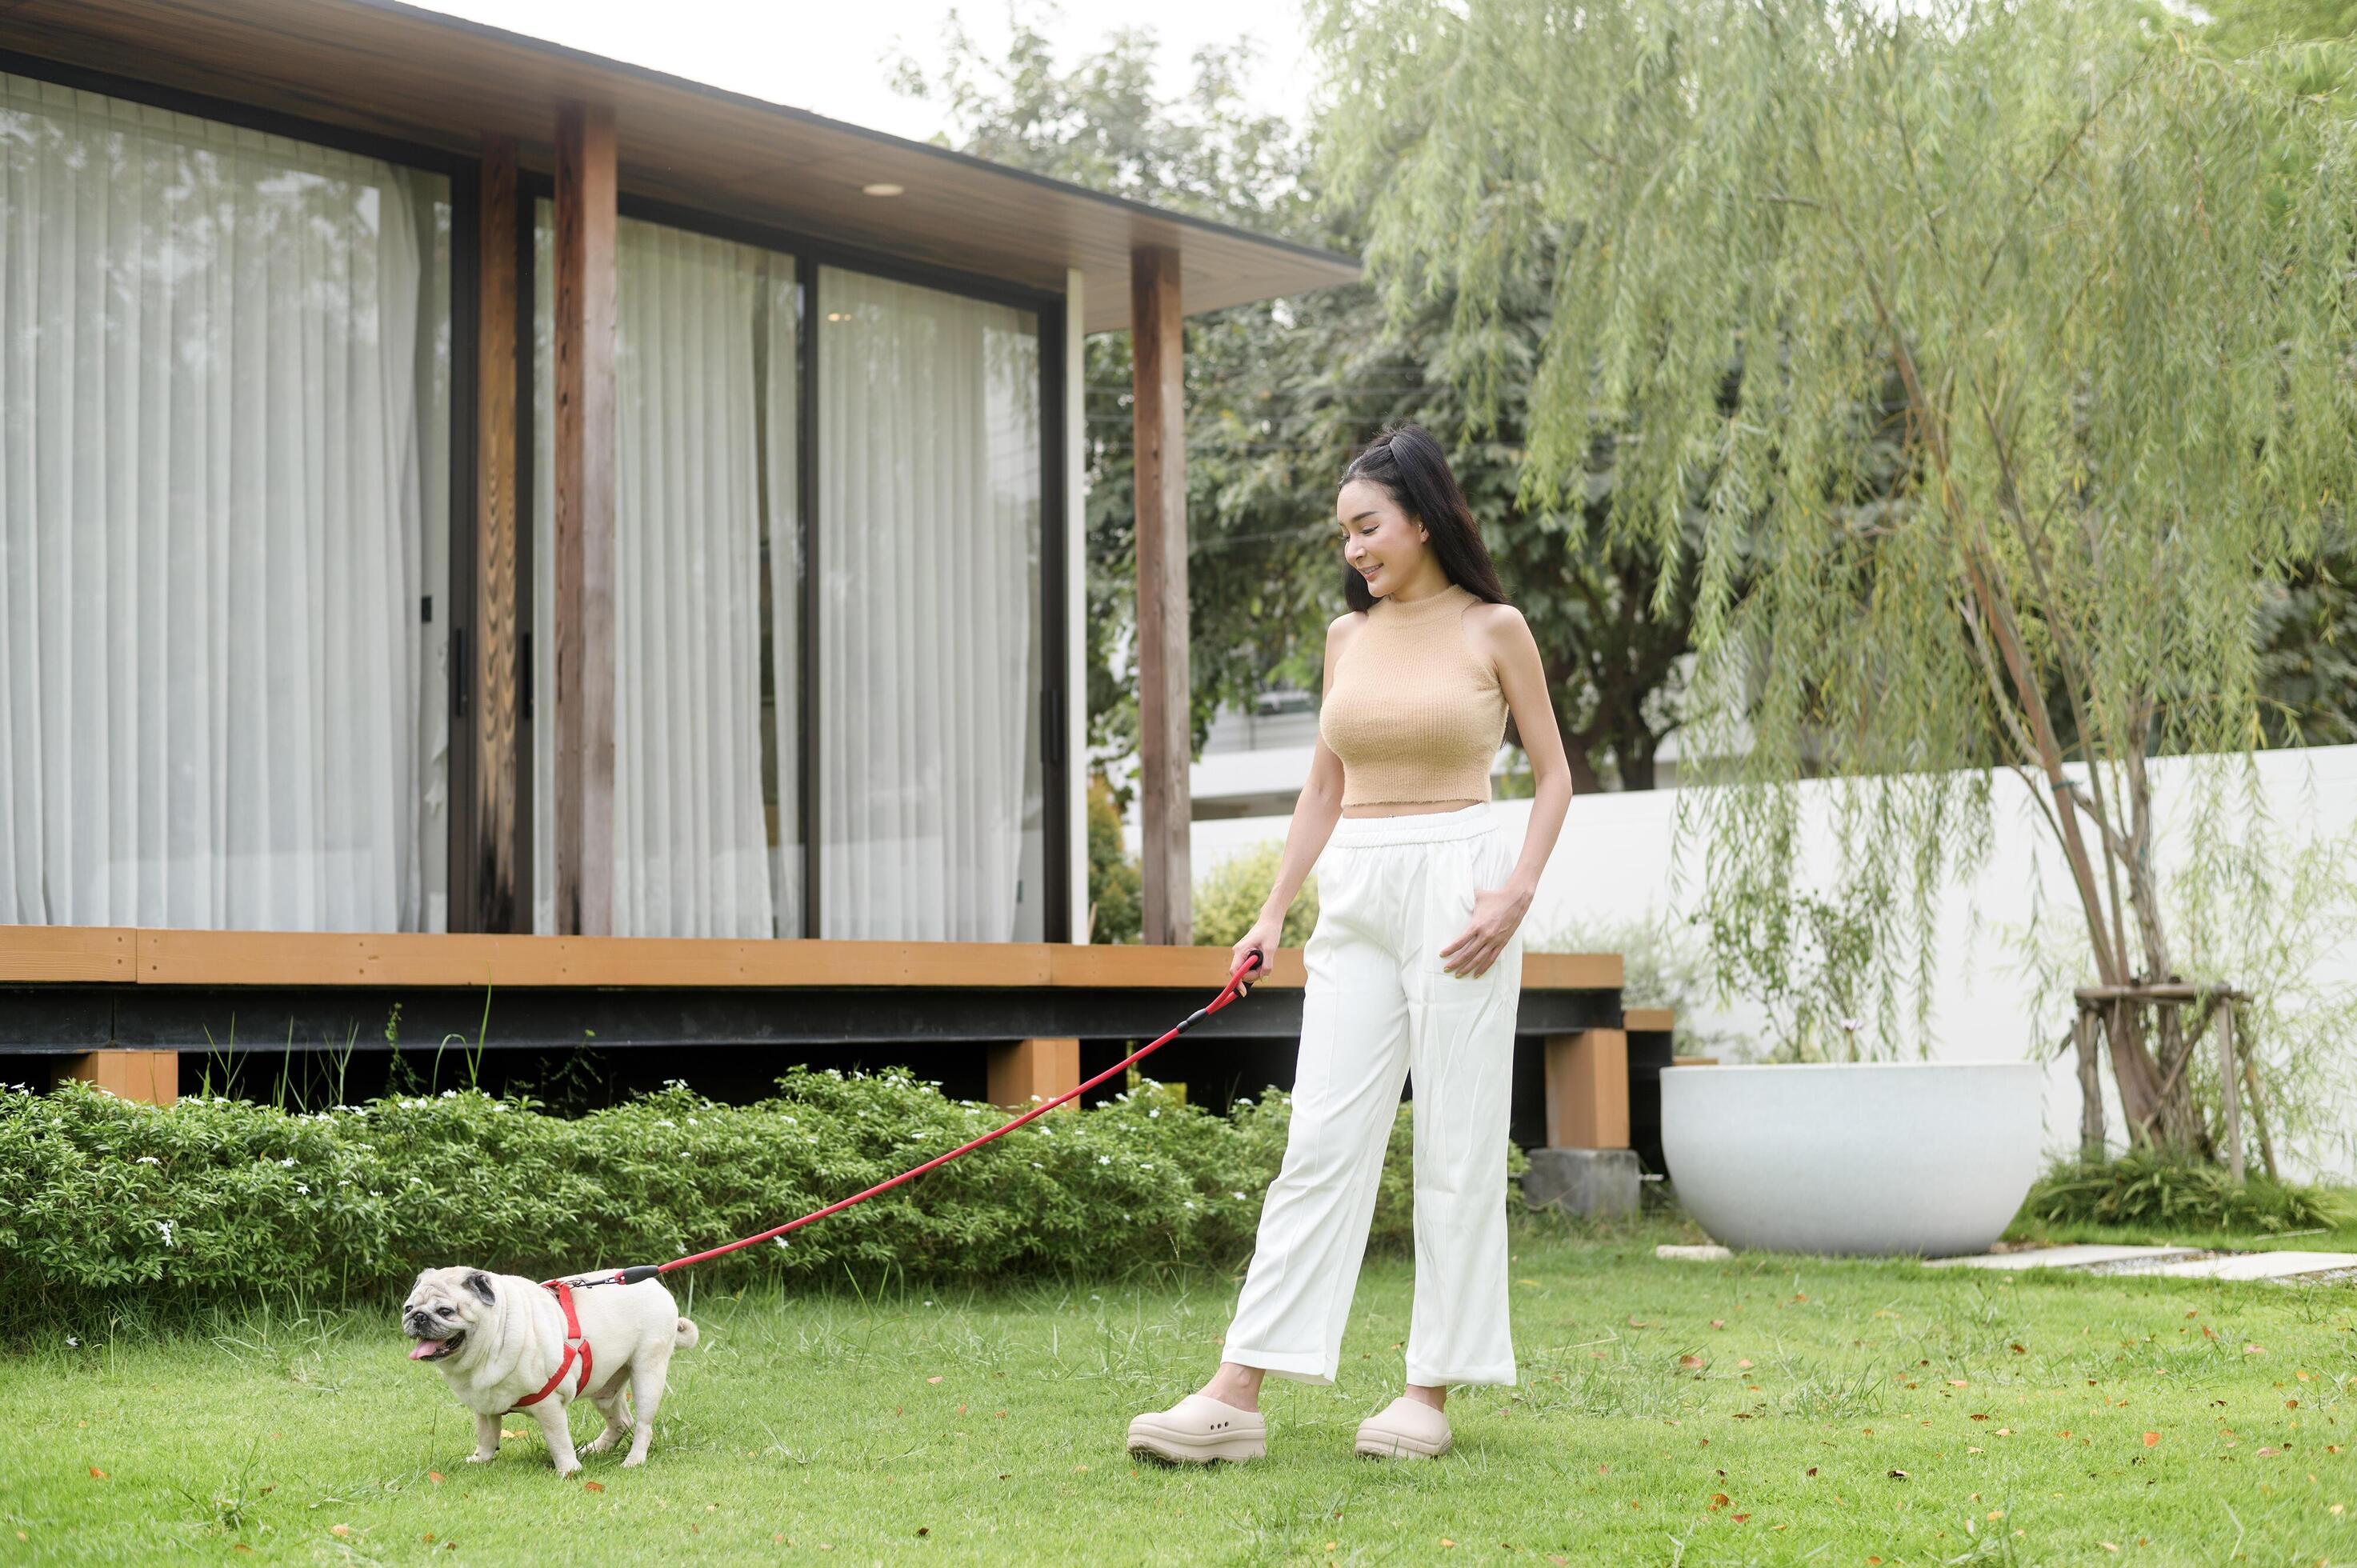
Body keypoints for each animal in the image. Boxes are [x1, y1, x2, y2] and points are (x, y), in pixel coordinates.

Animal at [405, 1263, 693, 1471]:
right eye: (408, 1308)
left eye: (446, 1311)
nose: (418, 1317)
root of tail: (656, 1286)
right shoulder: (484, 1405)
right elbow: (487, 1436)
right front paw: (480, 1460)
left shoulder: (548, 1404)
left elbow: (558, 1440)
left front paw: (569, 1470)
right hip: (605, 1388)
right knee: (621, 1421)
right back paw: (596, 1449)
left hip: (647, 1373)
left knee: (643, 1425)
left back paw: (633, 1460)